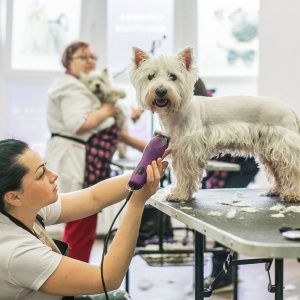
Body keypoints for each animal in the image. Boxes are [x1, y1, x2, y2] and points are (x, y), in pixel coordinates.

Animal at [129, 46, 300, 202]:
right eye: (150, 76)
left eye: (173, 76)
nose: (161, 91)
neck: (176, 113)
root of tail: (290, 110)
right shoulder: (177, 150)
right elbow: (180, 174)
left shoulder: (187, 151)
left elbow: (185, 175)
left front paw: (179, 194)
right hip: (269, 150)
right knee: (277, 170)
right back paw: (276, 190)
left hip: (283, 146)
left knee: (292, 169)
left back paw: (292, 194)